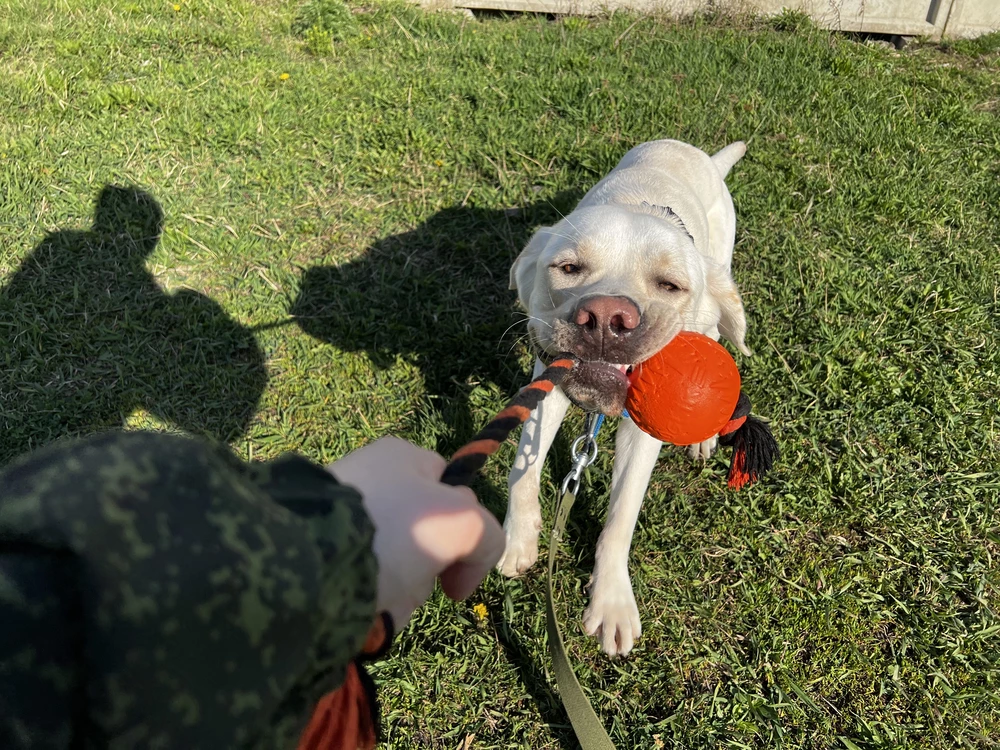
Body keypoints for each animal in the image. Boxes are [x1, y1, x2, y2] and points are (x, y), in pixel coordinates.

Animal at [500, 140, 752, 656]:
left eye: (670, 285)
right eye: (568, 268)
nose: (605, 316)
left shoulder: (643, 429)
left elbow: (621, 514)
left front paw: (611, 601)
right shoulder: (547, 384)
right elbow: (523, 469)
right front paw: (519, 538)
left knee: (717, 333)